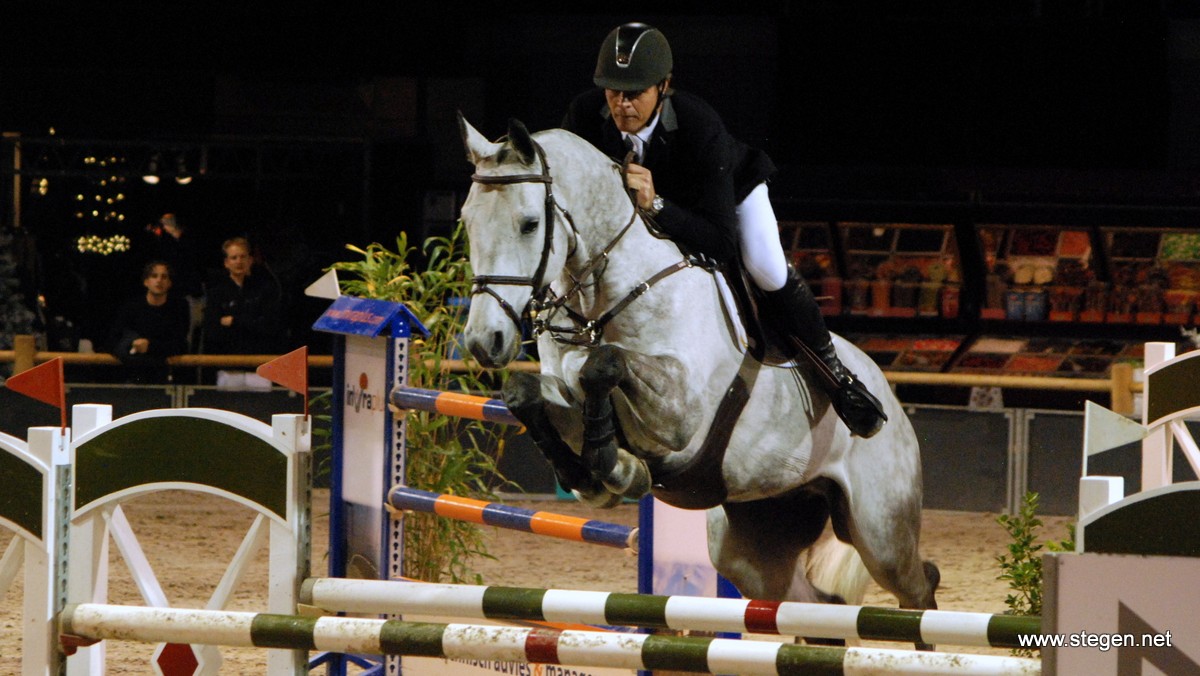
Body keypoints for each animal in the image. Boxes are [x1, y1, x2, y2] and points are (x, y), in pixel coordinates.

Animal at [458, 115, 936, 619]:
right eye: (467, 221)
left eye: (530, 224)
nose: (484, 341)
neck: (599, 304)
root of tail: (890, 395)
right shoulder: (565, 392)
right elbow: (527, 391)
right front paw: (600, 473)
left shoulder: (680, 413)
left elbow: (603, 364)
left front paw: (613, 465)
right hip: (755, 539)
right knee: (814, 602)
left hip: (881, 530)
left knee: (917, 587)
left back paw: (856, 401)